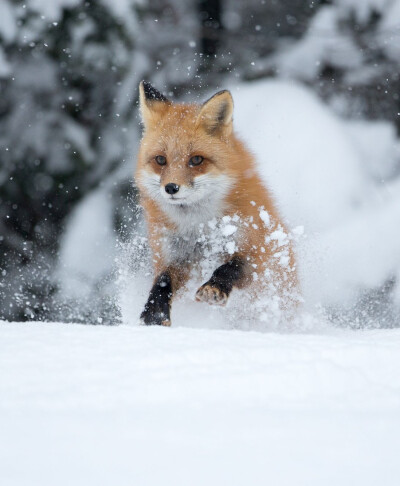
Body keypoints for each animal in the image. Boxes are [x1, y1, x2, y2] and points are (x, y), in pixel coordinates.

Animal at [136, 81, 296, 326]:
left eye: (196, 160)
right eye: (160, 160)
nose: (171, 188)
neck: (199, 227)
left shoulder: (255, 250)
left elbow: (230, 267)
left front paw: (214, 288)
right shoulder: (173, 255)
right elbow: (162, 282)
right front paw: (154, 312)